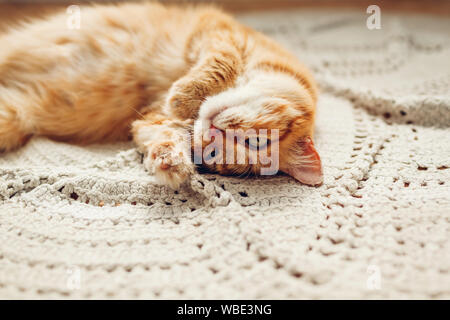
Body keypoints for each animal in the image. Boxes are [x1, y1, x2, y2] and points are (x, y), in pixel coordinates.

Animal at [0, 2, 324, 189]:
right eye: (257, 141)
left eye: (213, 155)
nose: (212, 132)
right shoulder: (220, 33)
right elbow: (220, 63)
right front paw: (185, 95)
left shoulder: (149, 120)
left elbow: (164, 136)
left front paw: (171, 164)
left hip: (13, 117)